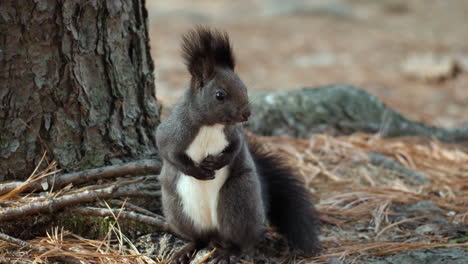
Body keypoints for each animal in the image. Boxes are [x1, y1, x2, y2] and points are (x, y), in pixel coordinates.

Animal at [155, 26, 320, 262]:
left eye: (245, 88)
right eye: (219, 95)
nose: (246, 114)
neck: (211, 125)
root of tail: (214, 233)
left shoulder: (235, 135)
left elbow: (235, 149)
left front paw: (217, 163)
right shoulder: (172, 132)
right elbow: (167, 151)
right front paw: (197, 171)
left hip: (237, 200)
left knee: (240, 241)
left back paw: (226, 252)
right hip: (177, 209)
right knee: (199, 239)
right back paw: (186, 250)